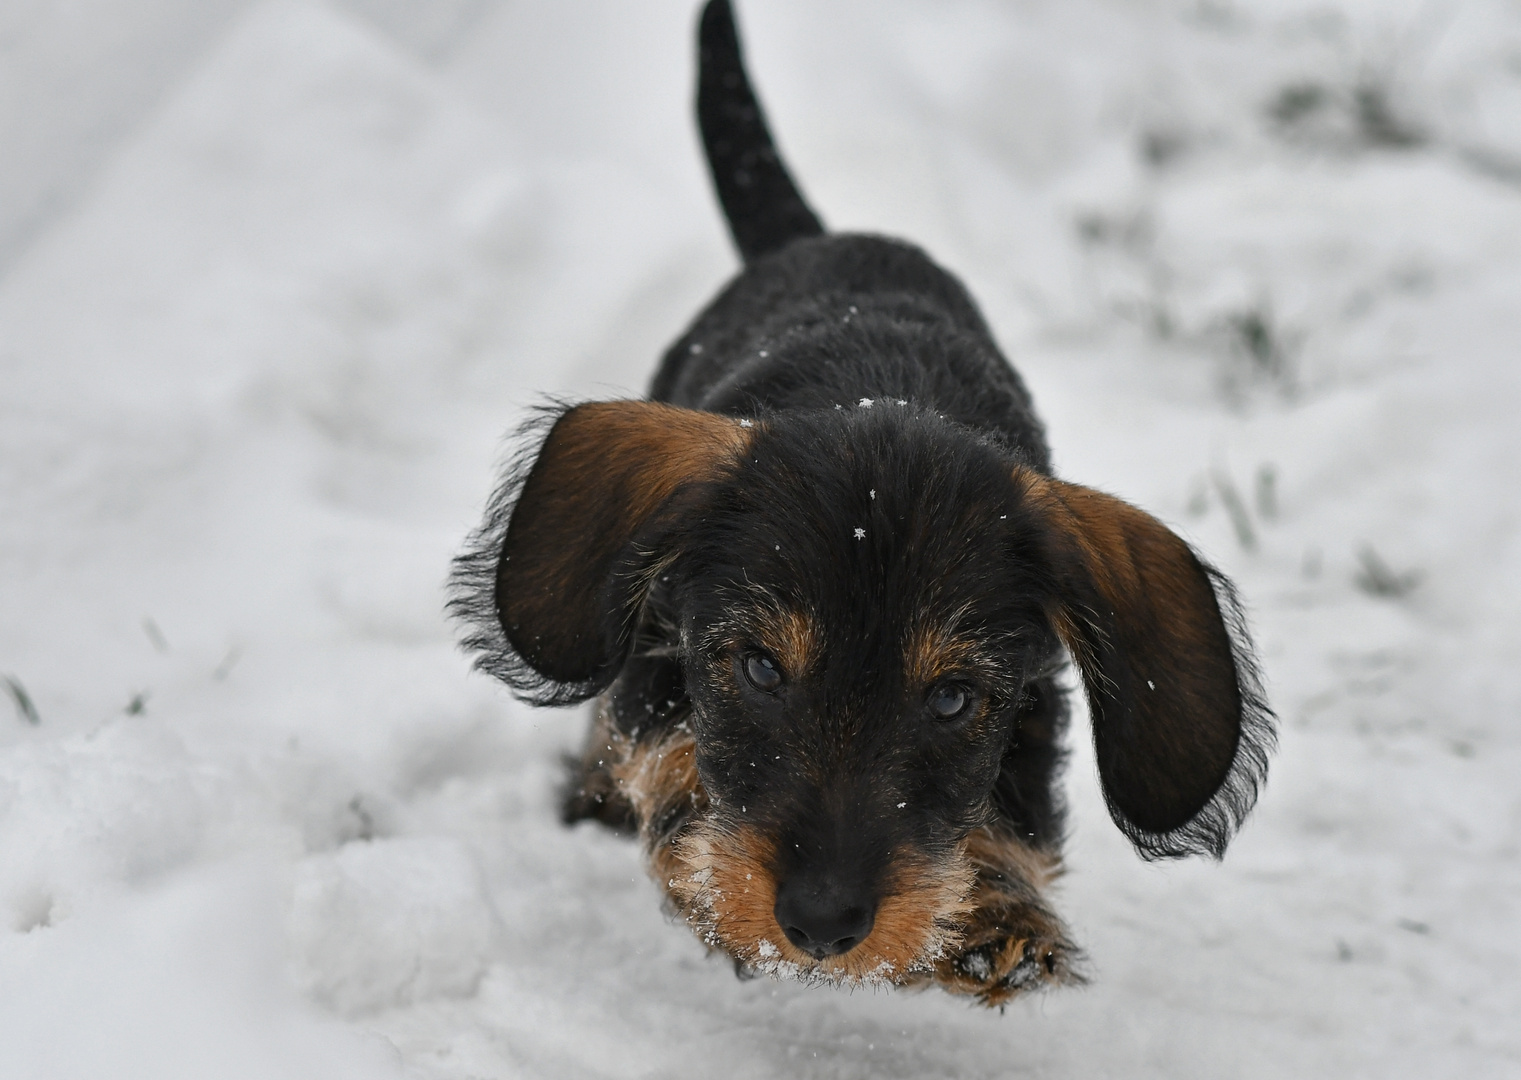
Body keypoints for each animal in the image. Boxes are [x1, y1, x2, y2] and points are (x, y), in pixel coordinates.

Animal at [450, 2, 1271, 1016]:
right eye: (759, 668)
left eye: (953, 699)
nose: (822, 923)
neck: (882, 394)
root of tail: (824, 237)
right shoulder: (660, 665)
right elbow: (667, 749)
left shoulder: (1031, 706)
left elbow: (1016, 813)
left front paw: (993, 917)